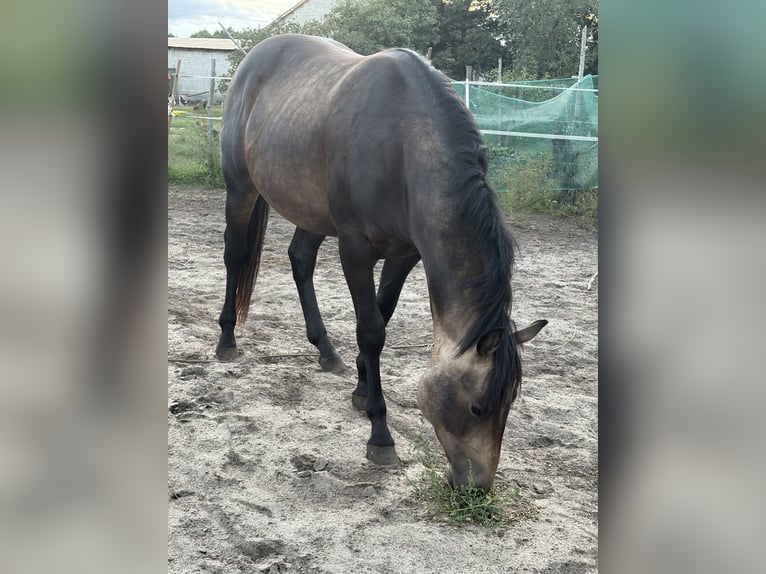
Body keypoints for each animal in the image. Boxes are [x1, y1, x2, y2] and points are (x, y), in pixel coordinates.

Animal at [216, 34, 547, 491]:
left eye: (511, 403)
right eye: (478, 408)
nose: (477, 489)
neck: (402, 143)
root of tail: (253, 59)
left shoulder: (405, 253)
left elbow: (382, 314)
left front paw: (359, 388)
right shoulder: (355, 249)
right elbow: (371, 330)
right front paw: (379, 433)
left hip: (312, 211)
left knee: (300, 259)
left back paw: (326, 350)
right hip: (241, 188)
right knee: (234, 256)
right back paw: (226, 340)